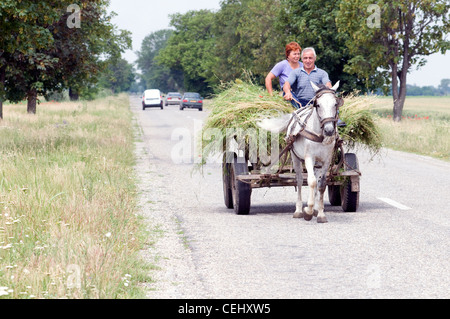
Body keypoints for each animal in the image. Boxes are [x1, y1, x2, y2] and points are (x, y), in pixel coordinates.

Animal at [258, 81, 342, 224]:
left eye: (335, 104)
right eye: (318, 105)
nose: (329, 130)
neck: (319, 135)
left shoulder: (326, 160)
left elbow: (321, 184)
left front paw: (320, 213)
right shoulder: (309, 158)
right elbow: (311, 182)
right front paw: (307, 211)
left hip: (317, 164)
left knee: (315, 179)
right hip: (295, 157)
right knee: (299, 180)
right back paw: (298, 210)